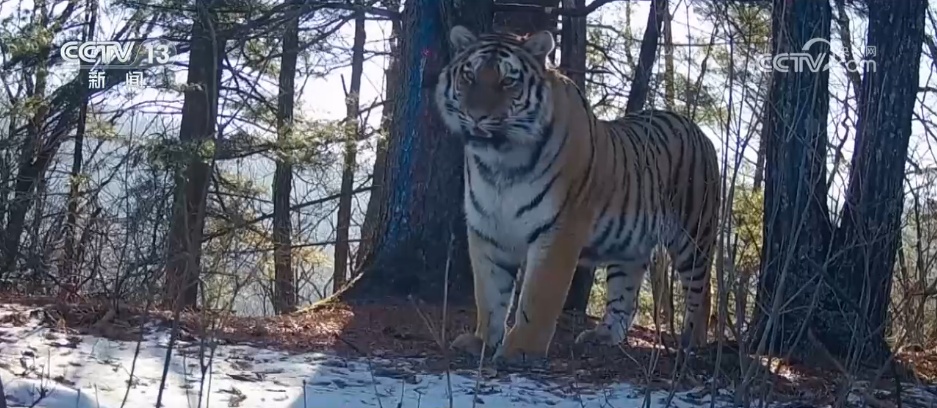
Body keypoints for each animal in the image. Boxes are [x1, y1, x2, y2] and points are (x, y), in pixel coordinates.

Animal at [433, 25, 720, 368]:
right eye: (469, 76)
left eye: (507, 81)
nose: (476, 116)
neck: (501, 163)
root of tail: (698, 129)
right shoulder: (487, 229)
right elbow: (489, 295)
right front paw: (481, 342)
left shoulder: (559, 229)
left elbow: (539, 295)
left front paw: (521, 350)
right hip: (630, 247)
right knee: (625, 293)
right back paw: (603, 336)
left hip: (694, 234)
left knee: (701, 290)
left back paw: (693, 343)